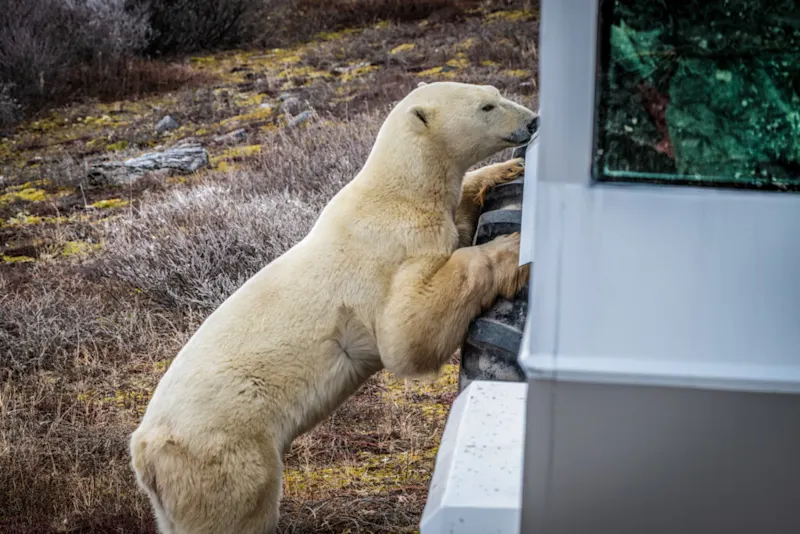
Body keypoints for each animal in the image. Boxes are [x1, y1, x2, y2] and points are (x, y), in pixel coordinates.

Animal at [130, 81, 537, 534]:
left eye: (494, 92)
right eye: (486, 106)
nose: (532, 121)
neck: (395, 191)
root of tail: (143, 455)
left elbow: (458, 222)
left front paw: (504, 172)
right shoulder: (386, 252)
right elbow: (407, 336)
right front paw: (514, 243)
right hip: (223, 455)